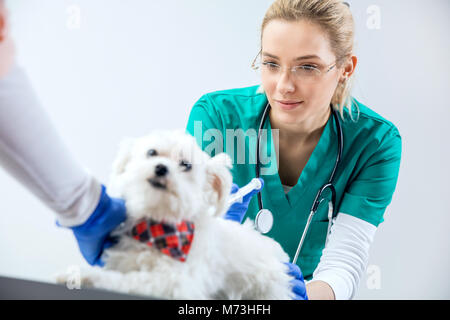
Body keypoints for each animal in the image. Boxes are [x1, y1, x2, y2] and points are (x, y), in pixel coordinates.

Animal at [57, 131, 296, 300]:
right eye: (151, 152)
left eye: (186, 165)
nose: (161, 168)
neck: (157, 229)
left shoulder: (174, 283)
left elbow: (126, 281)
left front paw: (84, 276)